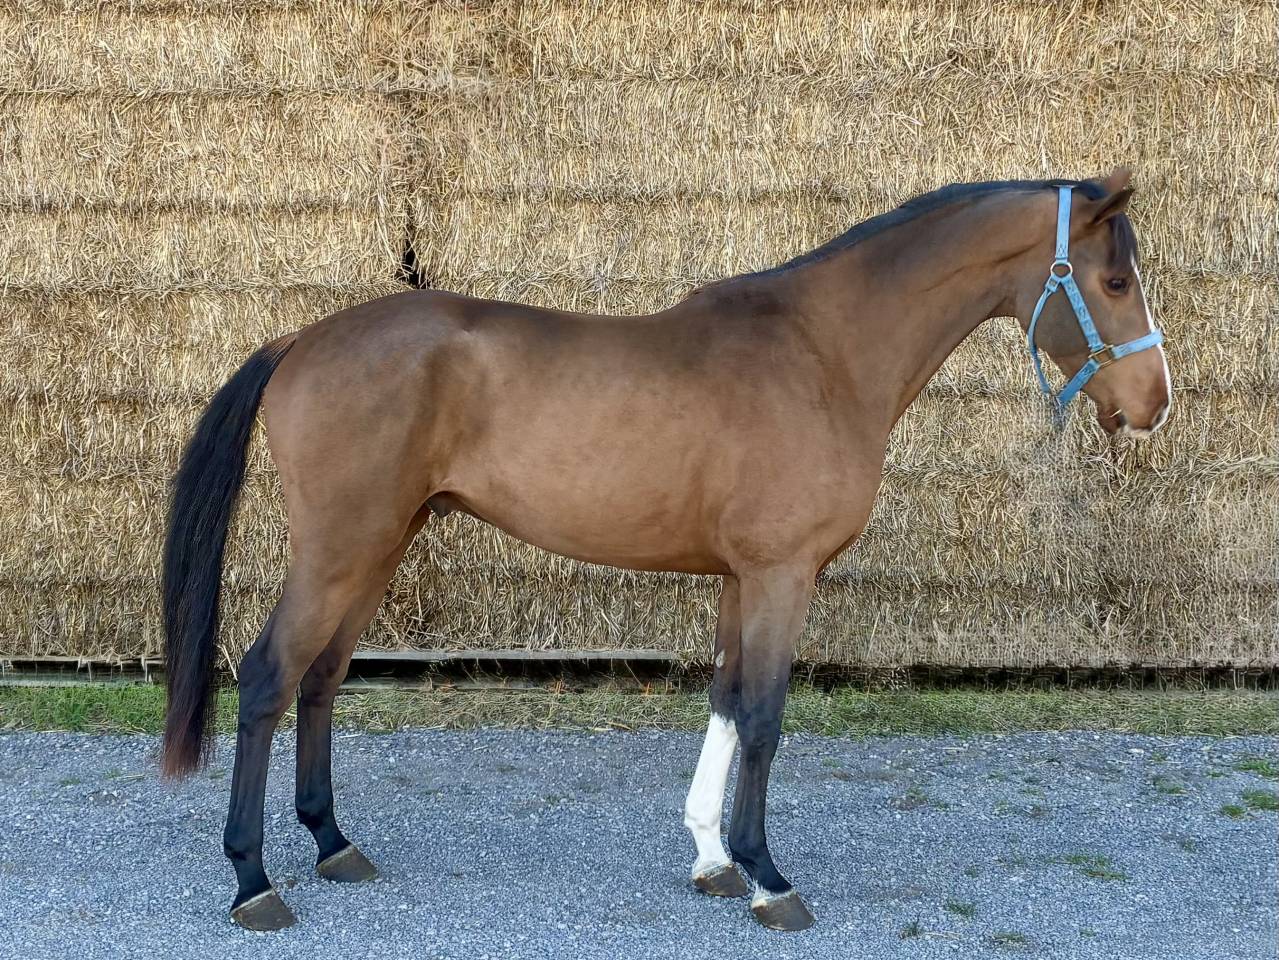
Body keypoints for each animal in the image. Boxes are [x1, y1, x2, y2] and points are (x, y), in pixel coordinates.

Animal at [160, 169, 1170, 933]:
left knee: (322, 677)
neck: (821, 356)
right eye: (1115, 283)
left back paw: (334, 845)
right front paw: (769, 879)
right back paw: (253, 881)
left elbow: (723, 700)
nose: (1154, 402)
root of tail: (302, 339)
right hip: (341, 548)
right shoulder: (781, 575)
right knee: (268, 674)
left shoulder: (739, 578)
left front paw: (712, 859)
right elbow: (763, 715)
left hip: (379, 547)